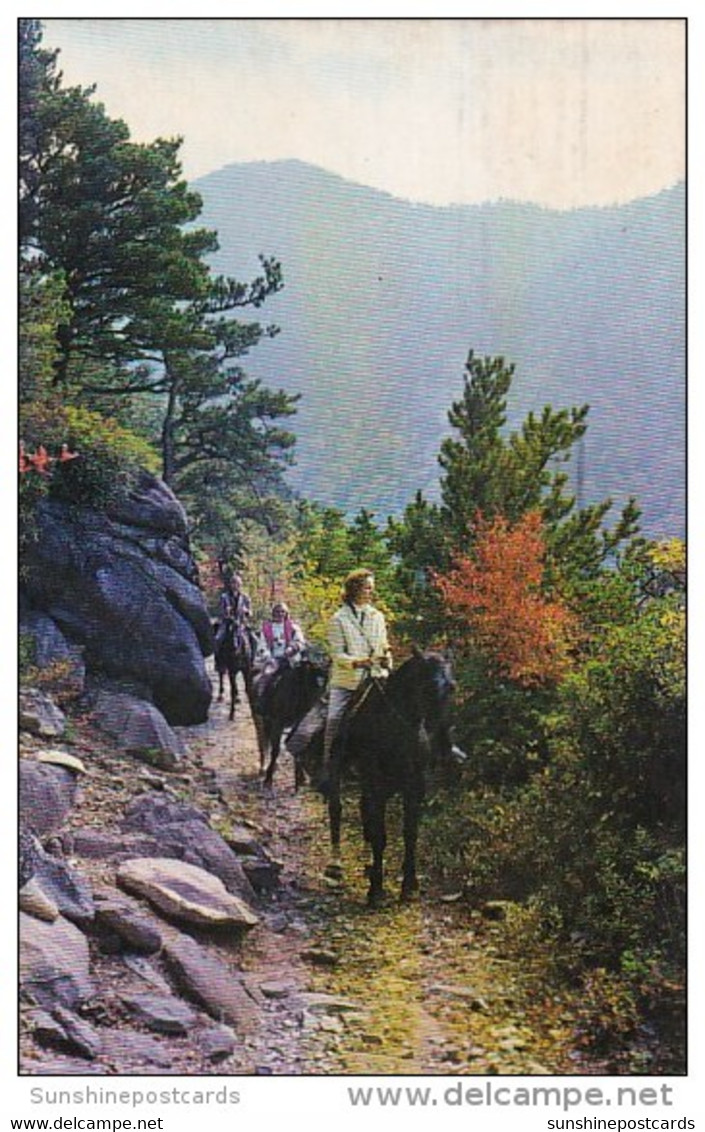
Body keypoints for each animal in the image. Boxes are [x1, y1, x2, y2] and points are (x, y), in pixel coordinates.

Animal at [253, 652, 330, 783]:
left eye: (326, 669)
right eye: (312, 668)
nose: (320, 682)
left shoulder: (297, 721)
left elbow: (292, 743)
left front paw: (303, 777)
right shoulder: (278, 722)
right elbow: (276, 749)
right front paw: (268, 778)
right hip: (262, 717)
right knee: (263, 739)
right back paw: (263, 768)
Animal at [303, 652, 457, 905]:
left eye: (452, 687)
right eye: (428, 686)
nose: (442, 739)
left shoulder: (414, 788)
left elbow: (410, 834)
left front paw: (409, 886)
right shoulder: (377, 785)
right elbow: (380, 835)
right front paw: (376, 890)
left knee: (363, 810)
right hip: (338, 770)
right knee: (337, 810)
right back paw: (336, 867)